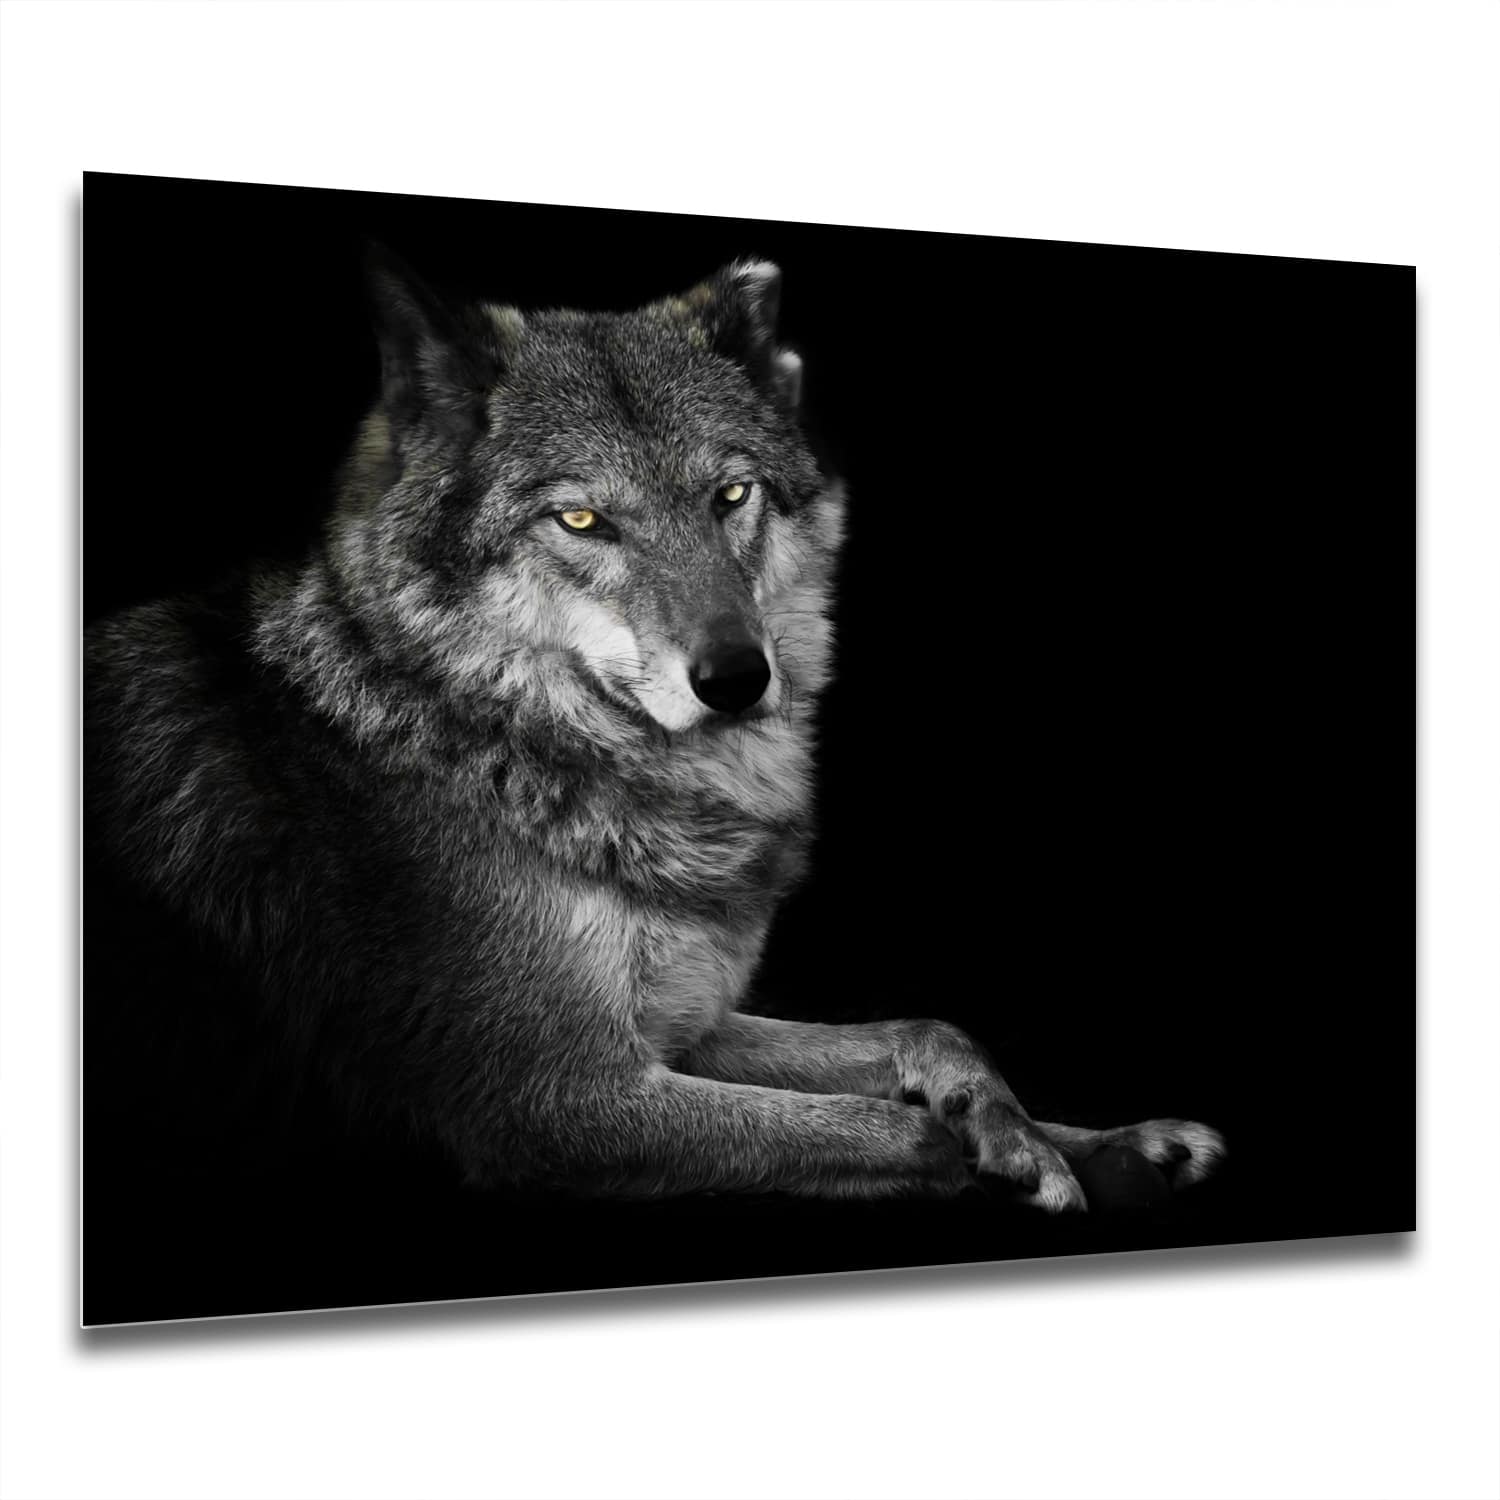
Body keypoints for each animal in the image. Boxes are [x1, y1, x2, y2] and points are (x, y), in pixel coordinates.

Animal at [84, 249, 1223, 1210]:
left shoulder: (686, 1025)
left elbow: (929, 1028)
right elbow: (892, 1129)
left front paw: (1090, 1140)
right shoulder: (553, 1098)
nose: (736, 679)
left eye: (732, 494)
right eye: (582, 520)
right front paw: (993, 1155)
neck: (481, 737)